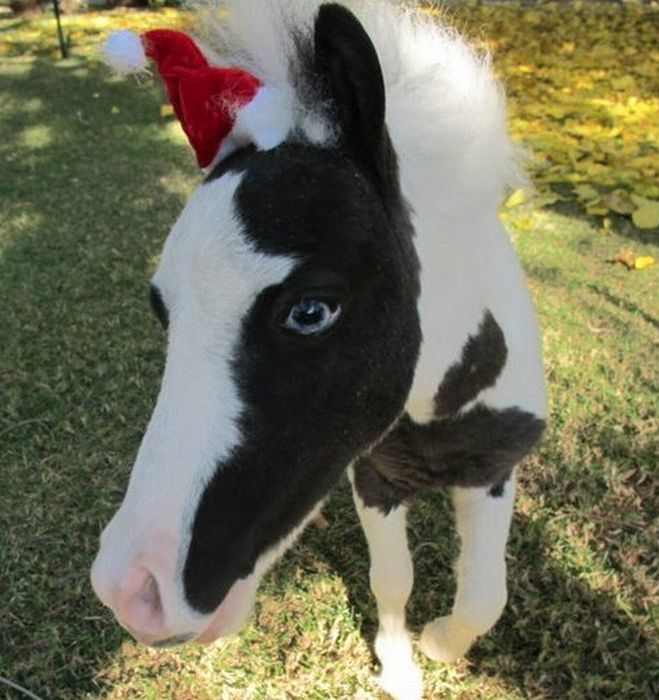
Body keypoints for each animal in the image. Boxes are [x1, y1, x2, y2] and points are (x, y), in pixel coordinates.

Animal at [91, 2, 548, 696]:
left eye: (310, 311)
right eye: (162, 310)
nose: (133, 592)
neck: (434, 409)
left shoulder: (494, 468)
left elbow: (483, 597)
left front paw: (439, 646)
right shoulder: (376, 473)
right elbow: (394, 577)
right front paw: (400, 668)